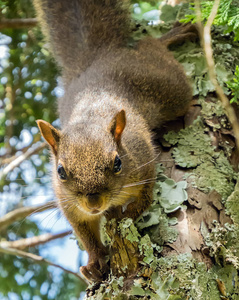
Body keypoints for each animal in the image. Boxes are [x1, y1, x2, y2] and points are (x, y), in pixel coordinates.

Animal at [33, 0, 197, 282]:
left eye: (118, 163)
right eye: (60, 171)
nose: (94, 203)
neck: (90, 120)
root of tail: (98, 56)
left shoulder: (144, 161)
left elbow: (143, 200)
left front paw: (125, 216)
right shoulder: (68, 202)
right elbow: (84, 231)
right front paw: (95, 260)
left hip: (169, 87)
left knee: (153, 50)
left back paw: (168, 37)